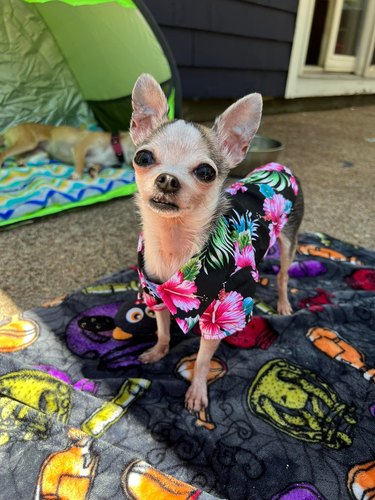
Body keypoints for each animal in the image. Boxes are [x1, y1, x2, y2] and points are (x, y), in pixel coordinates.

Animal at [0, 122, 135, 178]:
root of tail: (7, 131)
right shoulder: (80, 147)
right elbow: (80, 163)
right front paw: (77, 174)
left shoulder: (95, 161)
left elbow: (95, 166)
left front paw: (93, 171)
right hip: (28, 142)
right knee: (4, 153)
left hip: (41, 153)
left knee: (19, 158)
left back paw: (21, 163)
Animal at [131, 72, 304, 412]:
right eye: (143, 157)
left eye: (205, 172)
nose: (167, 179)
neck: (175, 243)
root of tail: (280, 167)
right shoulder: (155, 293)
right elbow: (162, 329)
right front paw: (158, 351)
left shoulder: (219, 317)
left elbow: (200, 360)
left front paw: (197, 391)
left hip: (289, 240)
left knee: (283, 275)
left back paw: (282, 301)